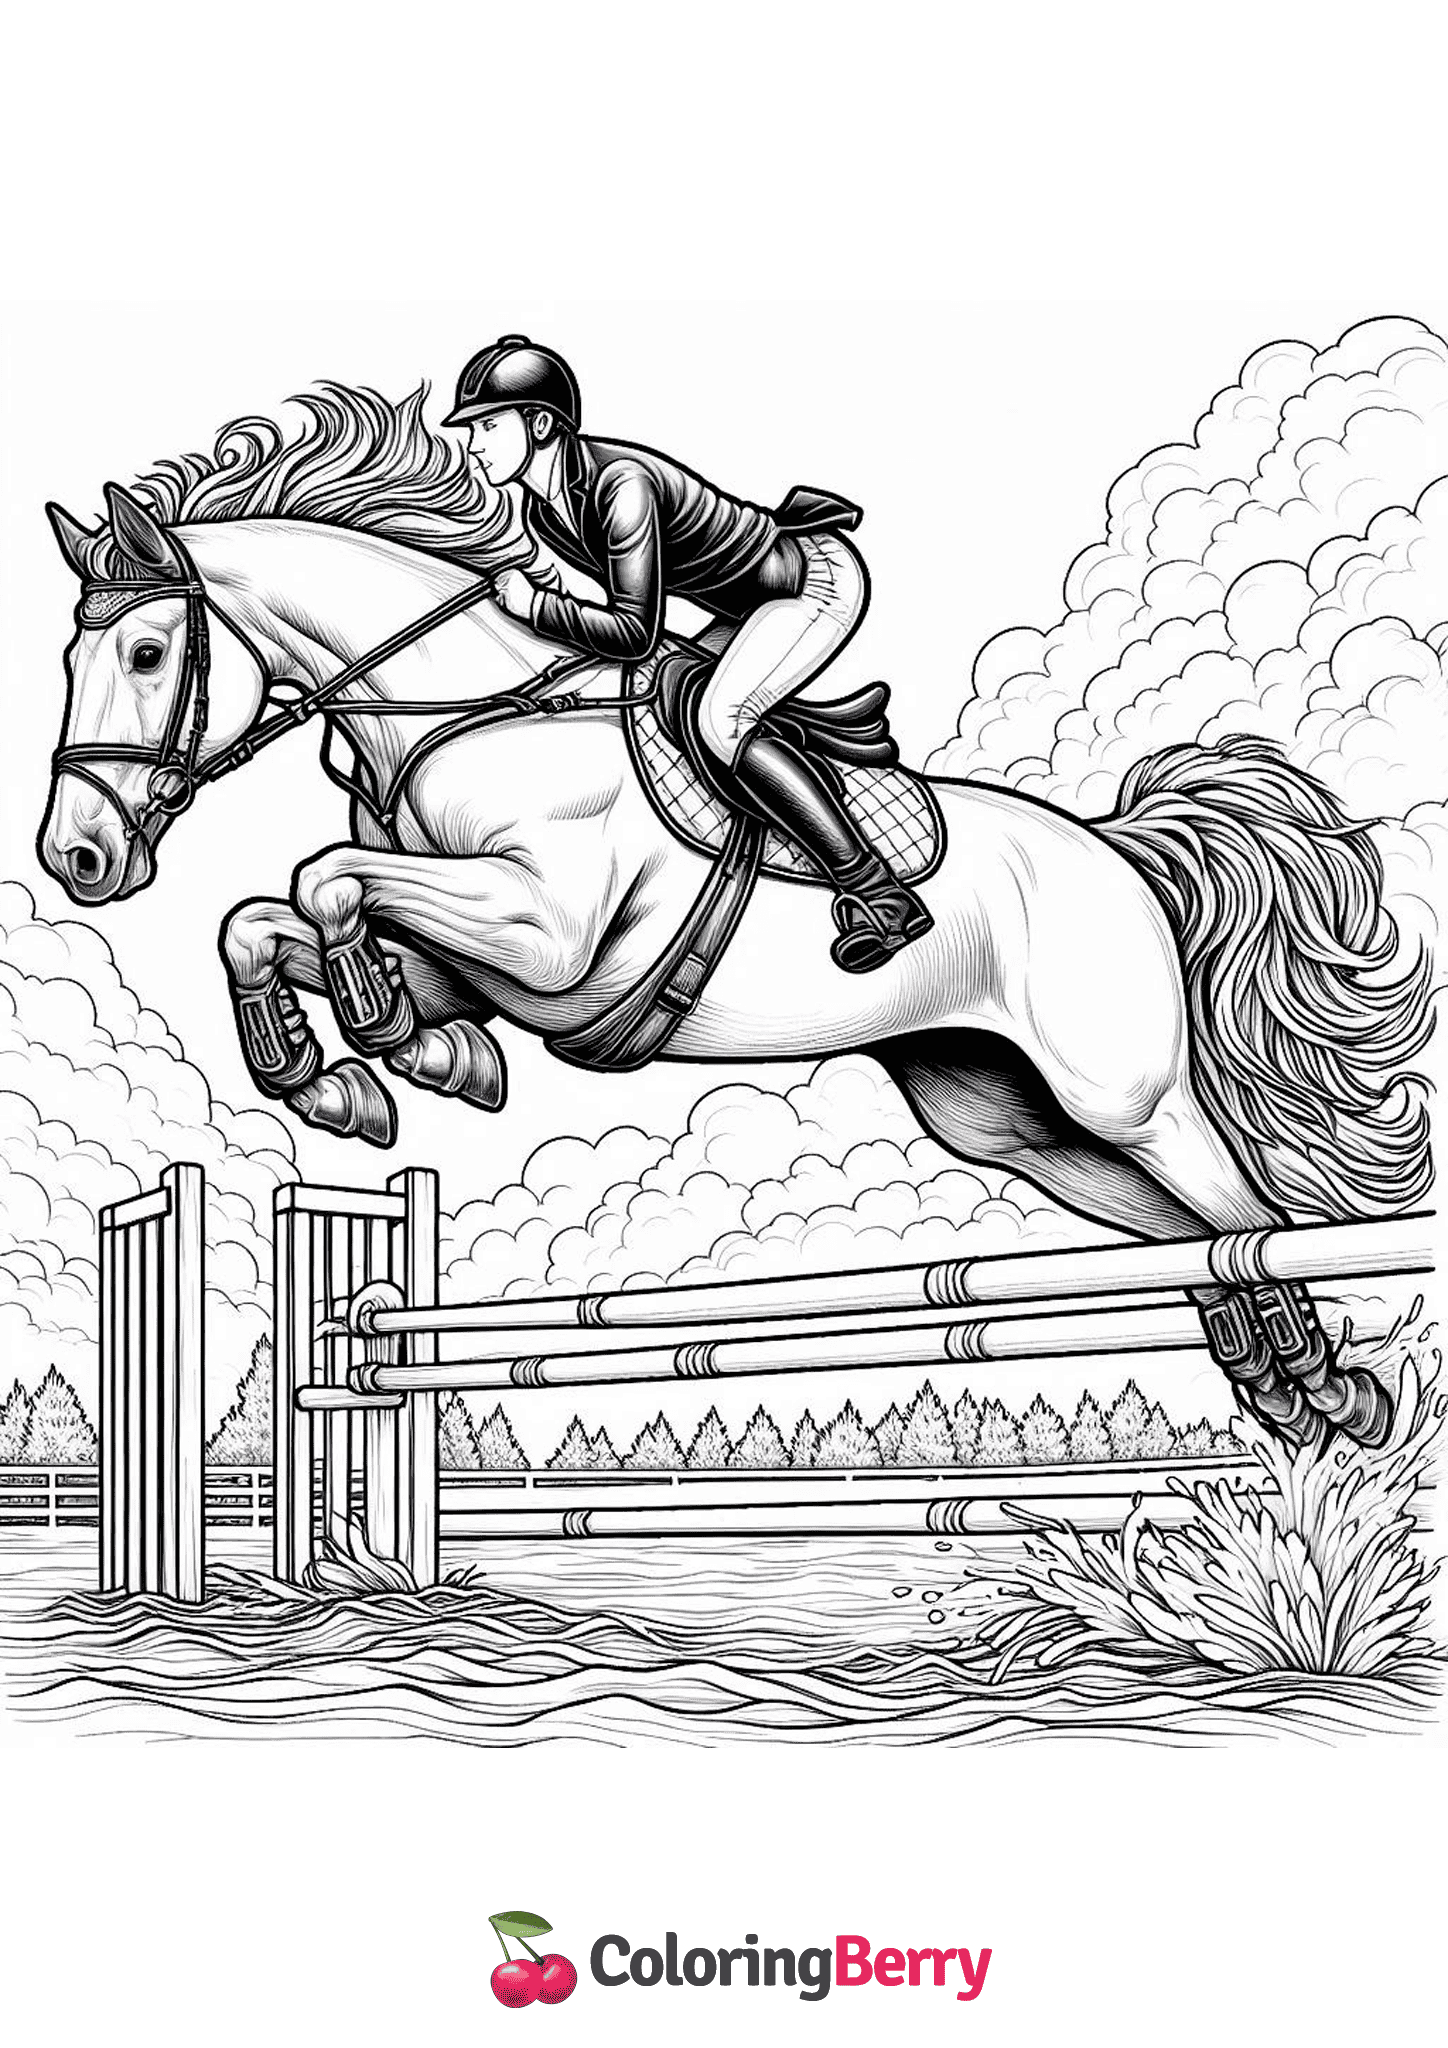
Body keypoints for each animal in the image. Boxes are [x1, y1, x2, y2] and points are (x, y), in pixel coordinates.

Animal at [36, 386, 1431, 1451]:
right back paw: (1286, 1394)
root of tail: (1114, 853)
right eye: (69, 658)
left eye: (149, 654)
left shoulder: (541, 933)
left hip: (1122, 1088)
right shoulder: (484, 961)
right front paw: (363, 1073)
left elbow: (325, 881)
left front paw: (383, 1046)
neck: (455, 714)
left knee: (1243, 1213)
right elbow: (261, 920)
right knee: (1185, 1233)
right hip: (1009, 1121)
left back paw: (1330, 1393)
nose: (77, 858)